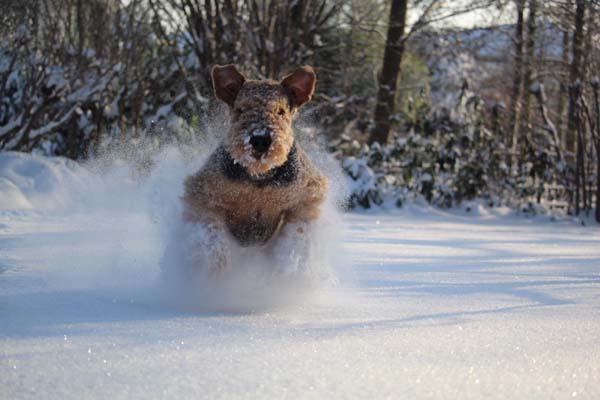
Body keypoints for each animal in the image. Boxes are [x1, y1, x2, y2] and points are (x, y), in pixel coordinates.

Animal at [183, 65, 328, 272]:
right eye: (241, 109)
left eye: (280, 111)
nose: (260, 140)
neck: (259, 177)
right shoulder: (203, 194)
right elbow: (211, 232)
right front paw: (214, 265)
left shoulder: (306, 196)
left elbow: (297, 234)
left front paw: (289, 265)